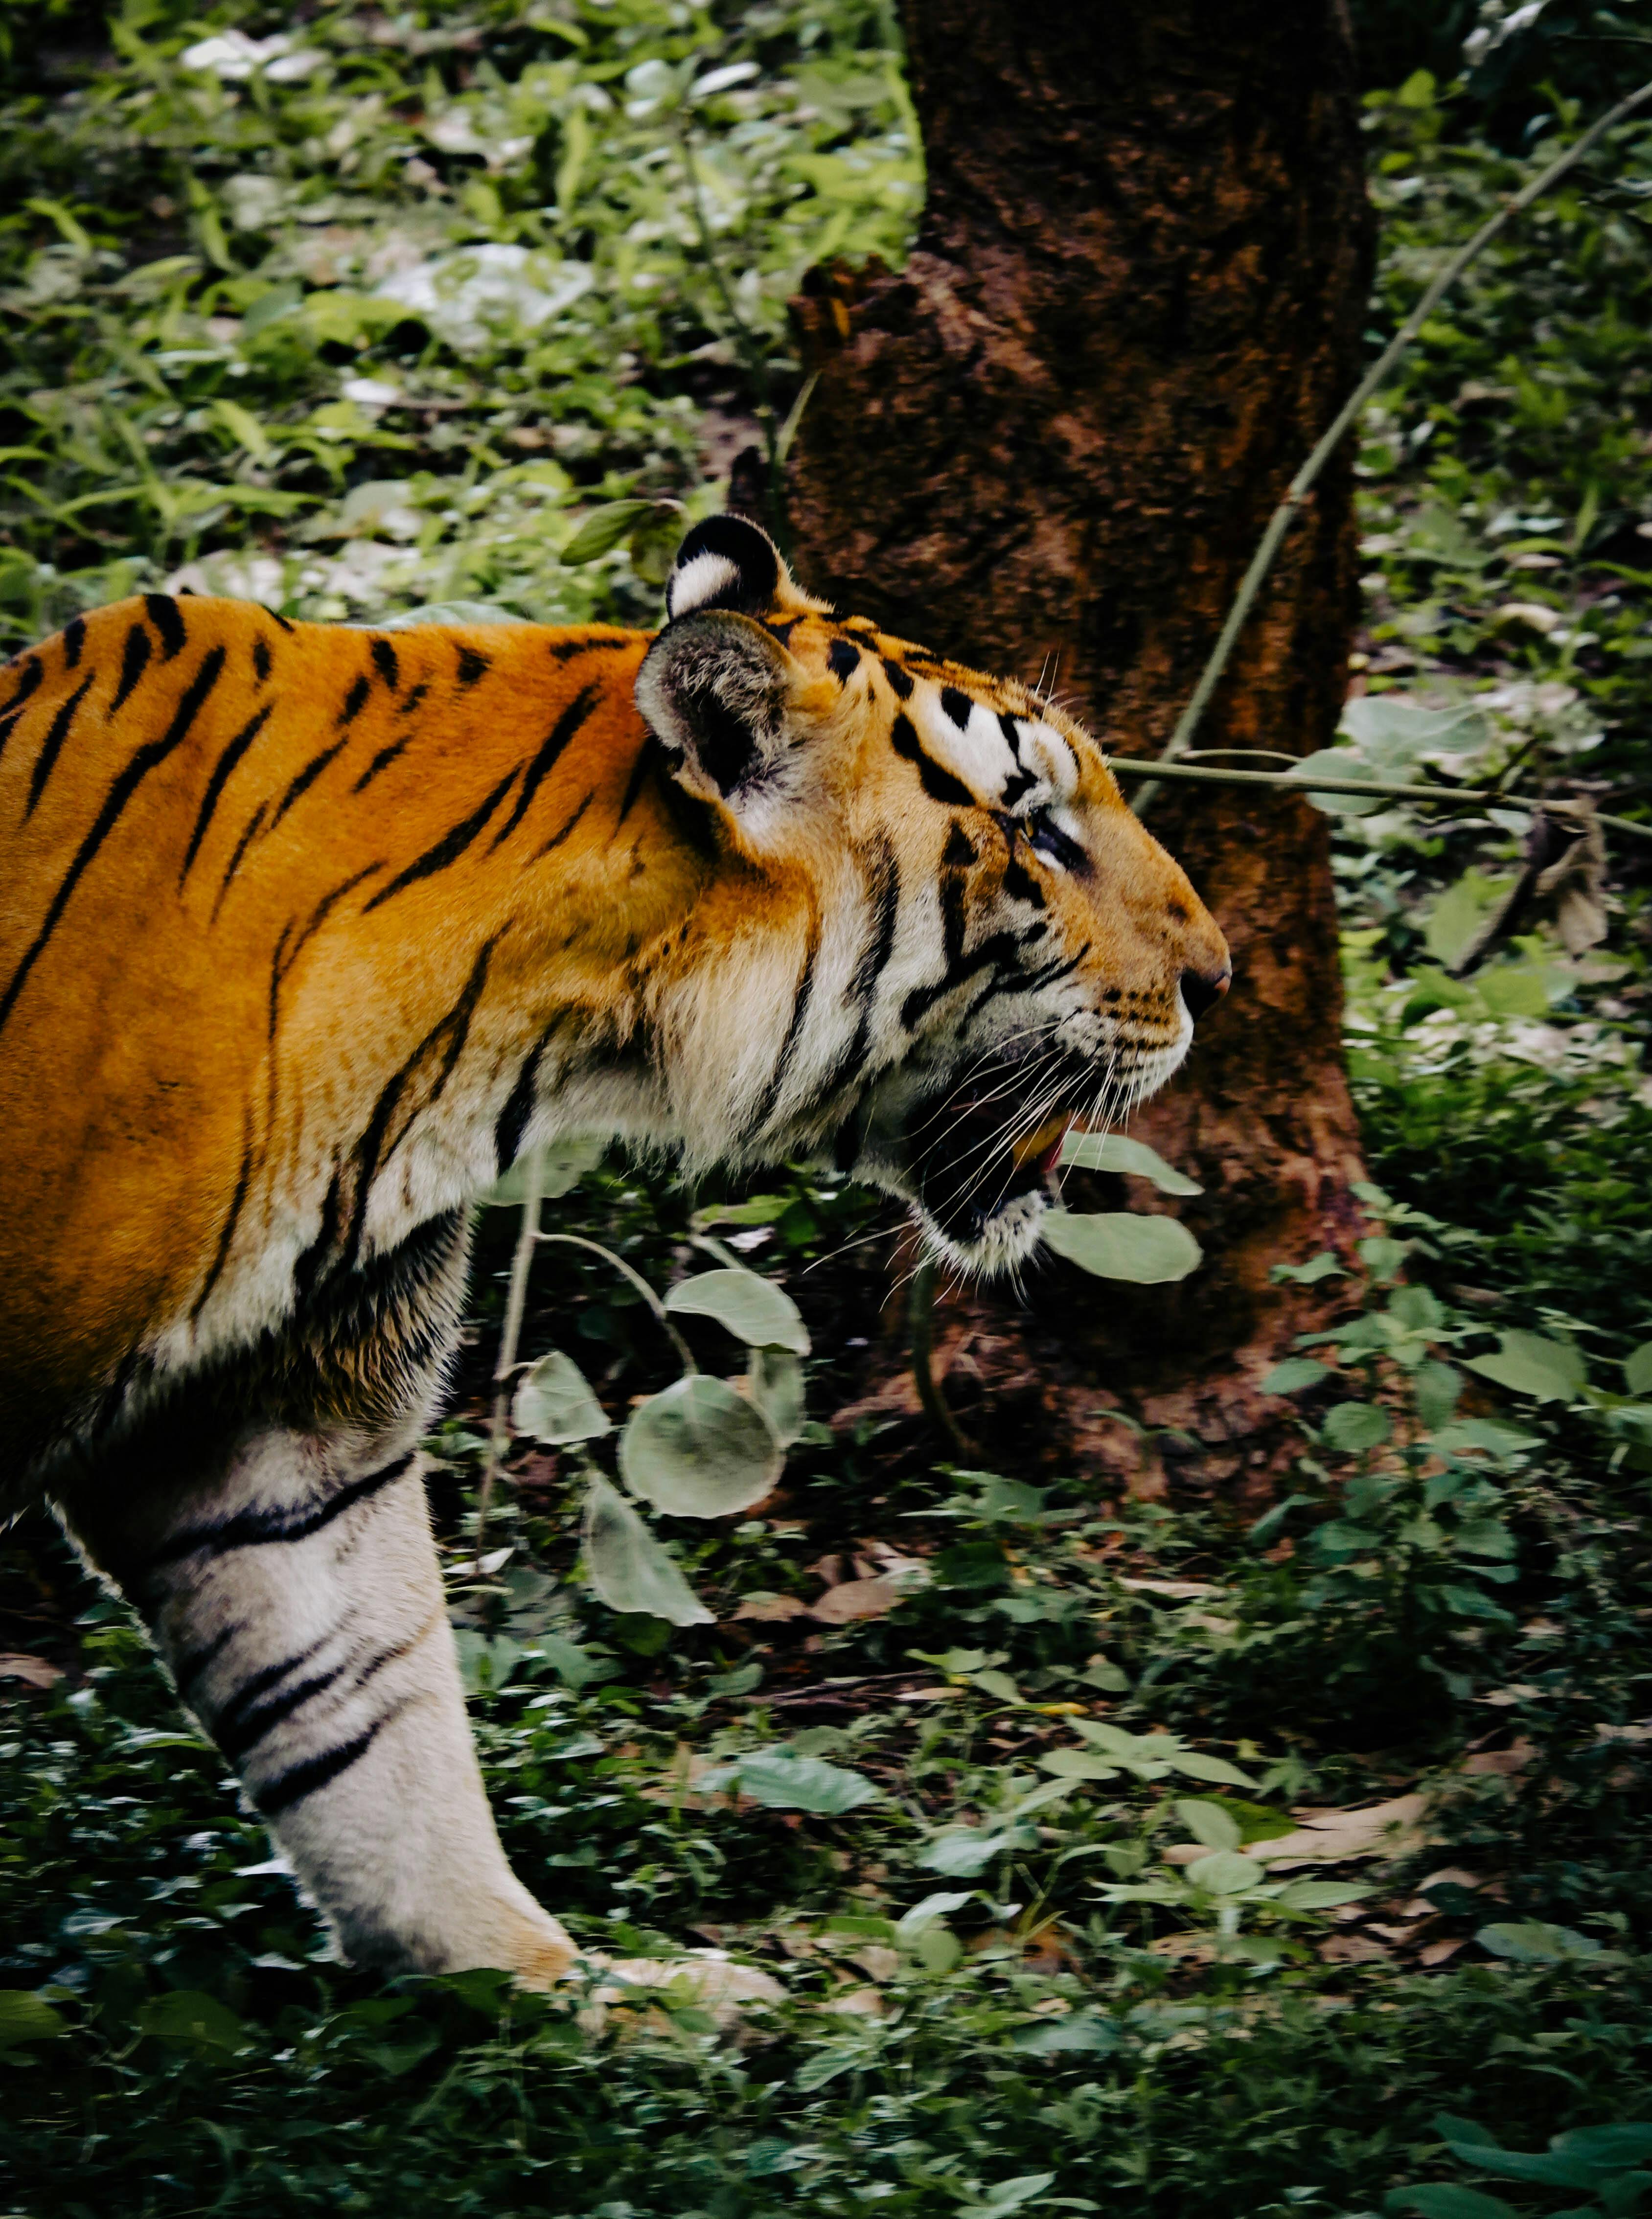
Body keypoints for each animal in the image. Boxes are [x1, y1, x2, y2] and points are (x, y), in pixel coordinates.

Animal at [0, 512, 1229, 2004]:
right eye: (1038, 830)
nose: (1223, 976)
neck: (508, 1039)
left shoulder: (276, 1425)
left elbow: (363, 1717)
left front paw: (547, 1984)